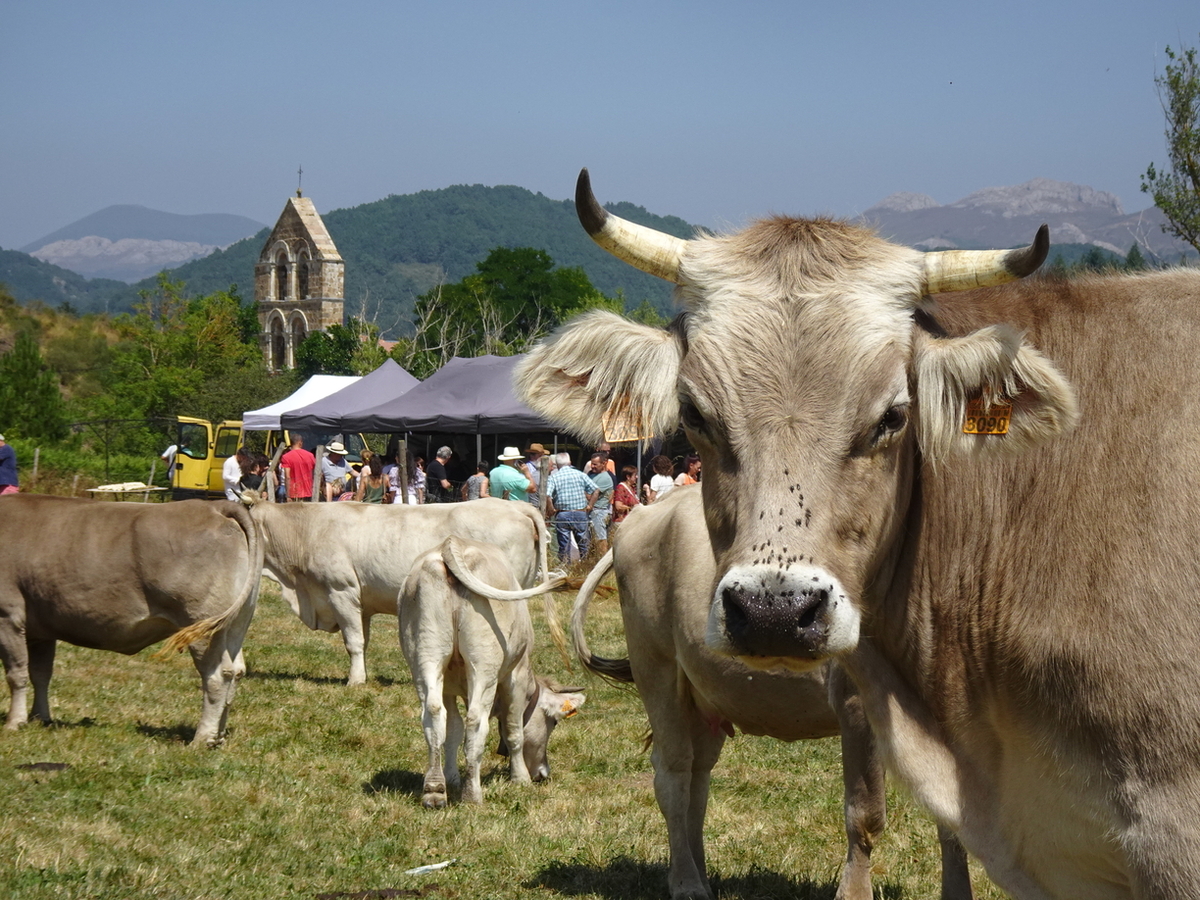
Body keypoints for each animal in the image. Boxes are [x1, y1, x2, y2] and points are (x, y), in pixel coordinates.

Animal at [0, 494, 261, 748]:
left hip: (201, 622)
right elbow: (40, 674)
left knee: (217, 675)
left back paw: (202, 738)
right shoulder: (41, 631)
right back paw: (219, 736)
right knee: (236, 671)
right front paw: (39, 717)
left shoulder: (8, 616)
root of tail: (214, 507)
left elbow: (16, 674)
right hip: (236, 622)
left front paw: (15, 722)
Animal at [247, 501, 561, 681]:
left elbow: (353, 642)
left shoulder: (340, 592)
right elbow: (363, 641)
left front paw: (354, 681)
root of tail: (515, 505)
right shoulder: (360, 602)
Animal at [400, 535, 583, 811]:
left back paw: (434, 790)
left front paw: (452, 778)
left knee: (433, 715)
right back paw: (472, 796)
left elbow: (452, 730)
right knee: (476, 721)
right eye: (552, 722)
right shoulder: (515, 677)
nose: (543, 773)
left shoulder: (449, 688)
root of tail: (451, 544)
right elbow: (514, 730)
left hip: (426, 656)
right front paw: (520, 779)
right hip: (484, 665)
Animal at [571, 487, 974, 900]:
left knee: (698, 781)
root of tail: (648, 509)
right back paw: (687, 882)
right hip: (657, 668)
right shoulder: (857, 706)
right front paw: (854, 892)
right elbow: (865, 815)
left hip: (704, 694)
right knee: (673, 778)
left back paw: (700, 873)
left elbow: (953, 821)